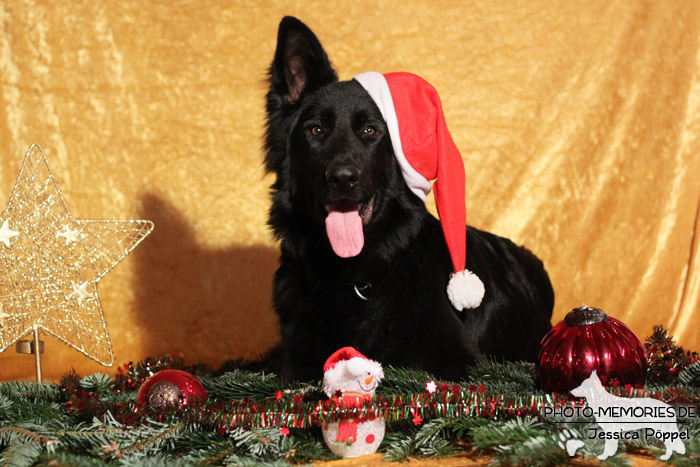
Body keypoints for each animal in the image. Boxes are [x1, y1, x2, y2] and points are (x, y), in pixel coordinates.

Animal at [262, 17, 552, 384]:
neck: (353, 276)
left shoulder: (462, 364)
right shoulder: (298, 363)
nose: (343, 178)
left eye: (370, 131)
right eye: (316, 131)